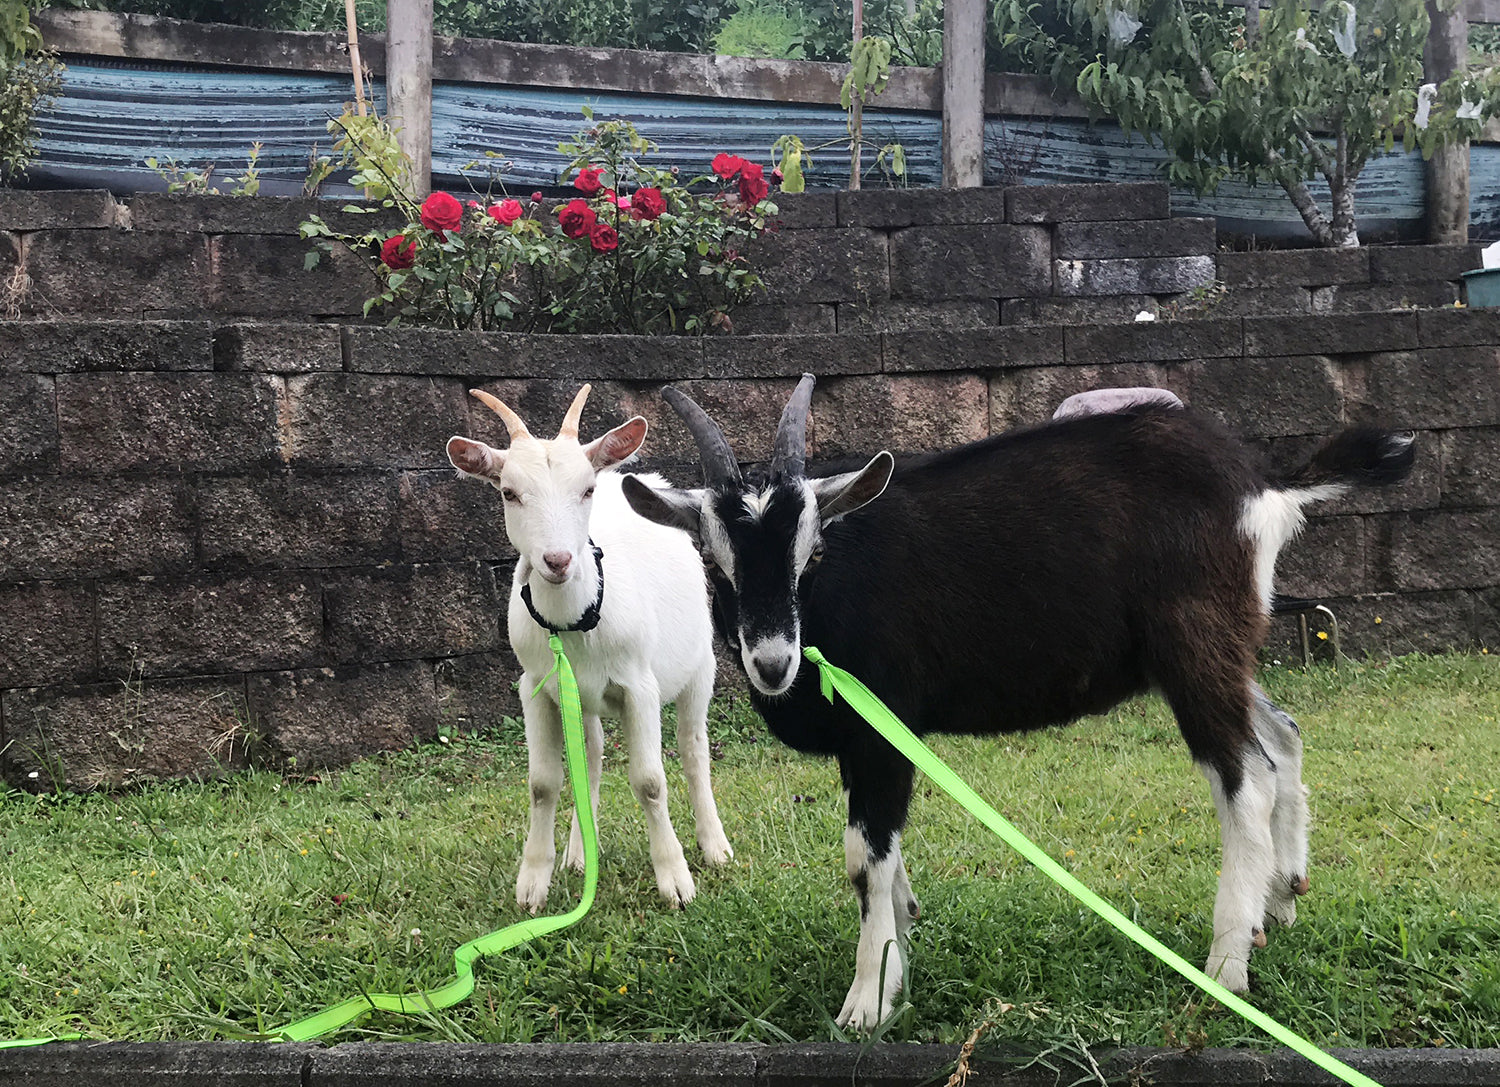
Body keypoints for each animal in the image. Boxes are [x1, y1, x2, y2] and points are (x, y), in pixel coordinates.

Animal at [446, 384, 732, 912]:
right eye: (509, 492)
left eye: (586, 490)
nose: (557, 560)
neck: (576, 623)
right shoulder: (536, 687)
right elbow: (544, 784)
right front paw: (532, 884)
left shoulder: (639, 685)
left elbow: (650, 781)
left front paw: (676, 881)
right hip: (583, 697)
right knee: (593, 757)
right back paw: (581, 855)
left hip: (700, 666)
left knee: (693, 748)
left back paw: (715, 846)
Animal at [622, 374, 1414, 1028]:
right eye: (714, 561)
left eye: (811, 553)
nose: (772, 661)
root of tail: (1264, 487)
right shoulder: (863, 740)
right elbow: (881, 854)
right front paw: (904, 936)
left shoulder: (882, 727)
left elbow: (863, 858)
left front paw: (869, 999)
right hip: (1224, 643)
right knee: (1282, 736)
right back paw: (1279, 900)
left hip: (1196, 641)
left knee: (1244, 779)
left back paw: (1225, 965)